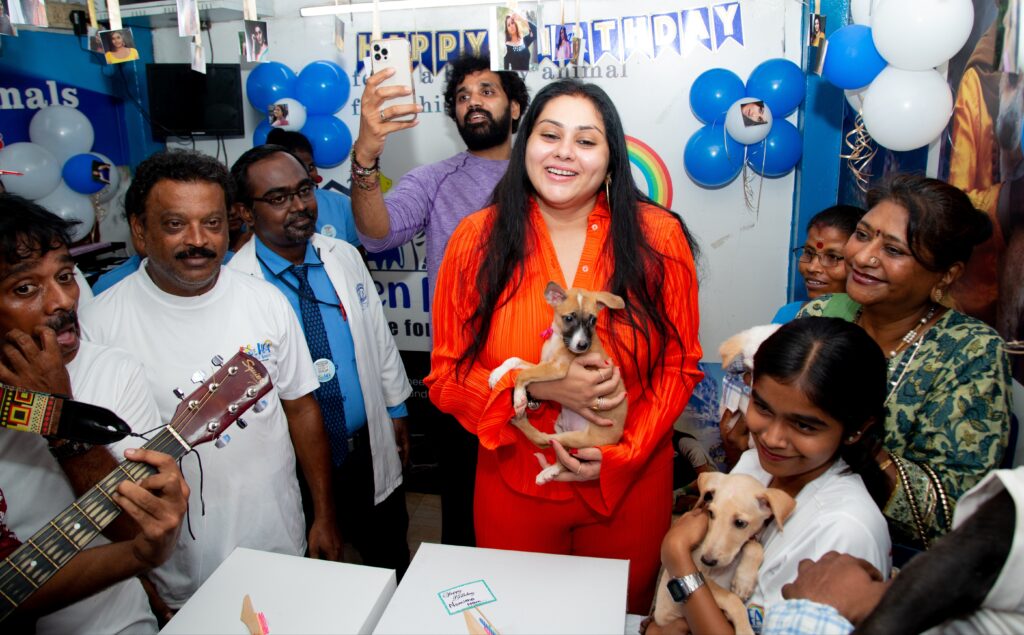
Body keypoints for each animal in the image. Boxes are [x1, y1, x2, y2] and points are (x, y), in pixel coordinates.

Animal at [485, 280, 622, 483]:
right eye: (569, 318)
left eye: (593, 320)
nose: (582, 346)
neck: (558, 338)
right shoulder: (543, 364)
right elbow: (515, 361)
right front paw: (497, 373)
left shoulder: (556, 368)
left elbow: (522, 375)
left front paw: (519, 398)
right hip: (561, 429)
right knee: (562, 455)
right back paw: (551, 470)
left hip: (576, 438)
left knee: (544, 440)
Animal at [651, 471, 794, 635]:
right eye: (711, 513)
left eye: (740, 523)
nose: (706, 560)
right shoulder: (701, 574)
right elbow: (732, 599)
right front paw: (745, 629)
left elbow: (754, 546)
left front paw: (744, 581)